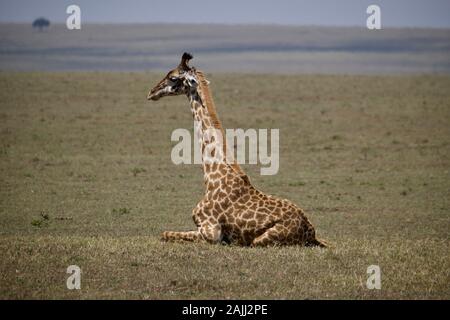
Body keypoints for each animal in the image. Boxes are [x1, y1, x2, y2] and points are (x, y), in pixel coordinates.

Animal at [148, 53, 326, 248]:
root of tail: (310, 232)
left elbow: (164, 233)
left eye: (173, 77)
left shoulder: (211, 232)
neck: (212, 177)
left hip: (259, 241)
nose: (151, 92)